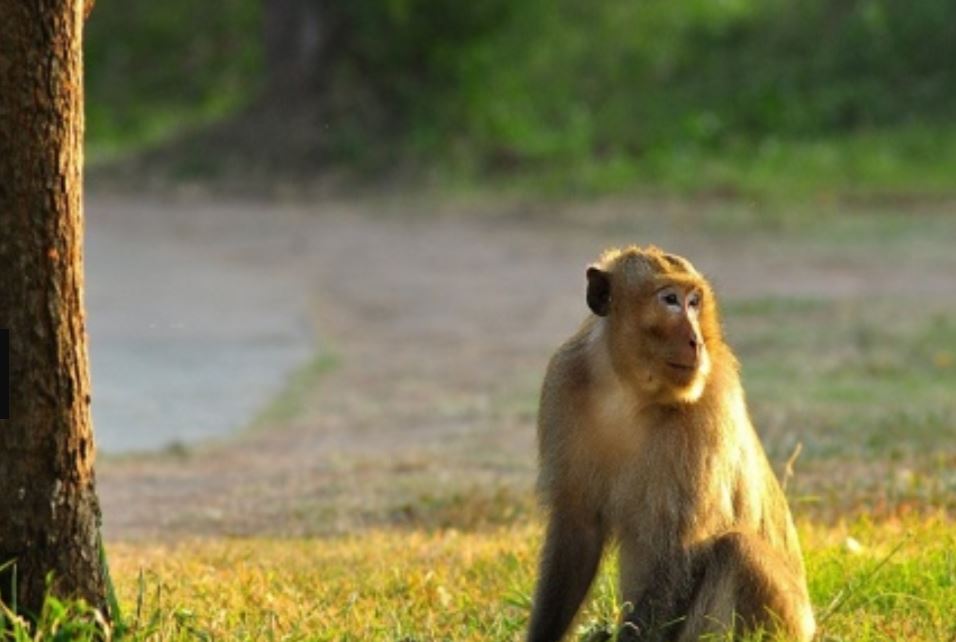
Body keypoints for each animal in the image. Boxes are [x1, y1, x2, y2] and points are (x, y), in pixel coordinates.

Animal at [528, 246, 812, 640]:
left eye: (694, 302)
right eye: (670, 300)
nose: (697, 341)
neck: (627, 392)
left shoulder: (708, 405)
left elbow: (679, 546)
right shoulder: (563, 380)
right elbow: (578, 529)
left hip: (782, 620)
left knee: (735, 550)